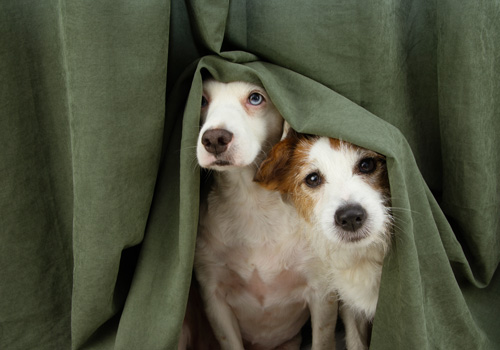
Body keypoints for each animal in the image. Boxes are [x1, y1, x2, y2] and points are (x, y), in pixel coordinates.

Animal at [193, 80, 338, 350]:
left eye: (255, 98)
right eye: (202, 99)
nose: (214, 138)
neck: (252, 202)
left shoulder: (322, 292)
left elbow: (322, 340)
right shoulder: (214, 296)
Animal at [256, 129, 392, 350]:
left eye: (367, 164)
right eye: (312, 178)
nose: (350, 217)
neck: (365, 257)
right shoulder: (351, 308)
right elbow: (356, 341)